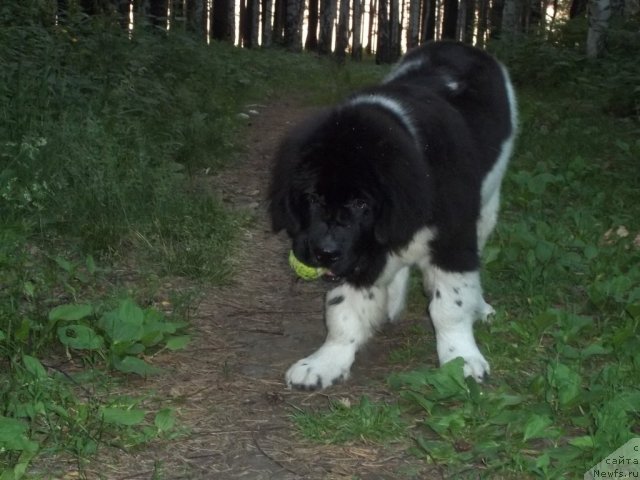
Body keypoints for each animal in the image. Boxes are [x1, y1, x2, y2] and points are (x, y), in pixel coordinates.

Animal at [268, 41, 516, 392]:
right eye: (313, 198)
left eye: (361, 203)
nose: (325, 253)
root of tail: (457, 45)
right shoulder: (359, 251)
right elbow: (342, 311)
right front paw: (326, 361)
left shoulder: (452, 240)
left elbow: (450, 305)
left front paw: (461, 358)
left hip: (488, 204)